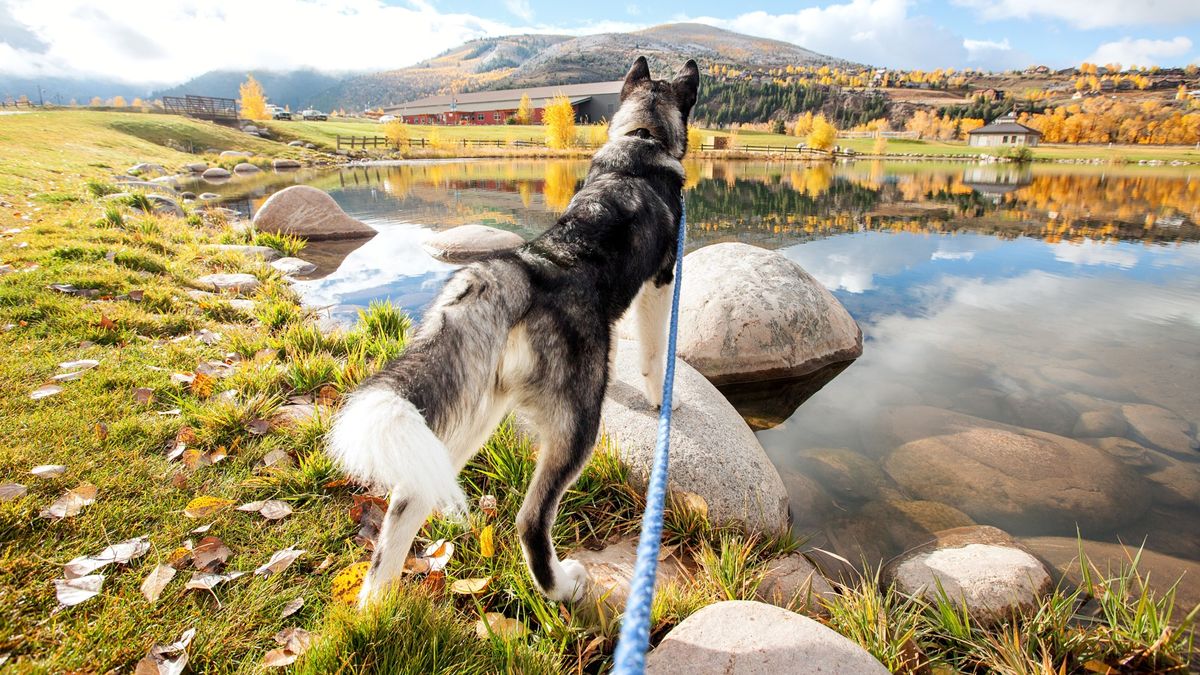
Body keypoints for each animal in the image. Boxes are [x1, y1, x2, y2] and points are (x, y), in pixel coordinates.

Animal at [328, 56, 700, 605]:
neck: (641, 139)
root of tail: (515, 271)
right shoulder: (660, 283)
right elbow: (656, 357)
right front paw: (661, 401)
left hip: (471, 419)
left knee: (405, 506)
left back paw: (378, 603)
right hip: (575, 427)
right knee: (530, 520)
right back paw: (563, 586)